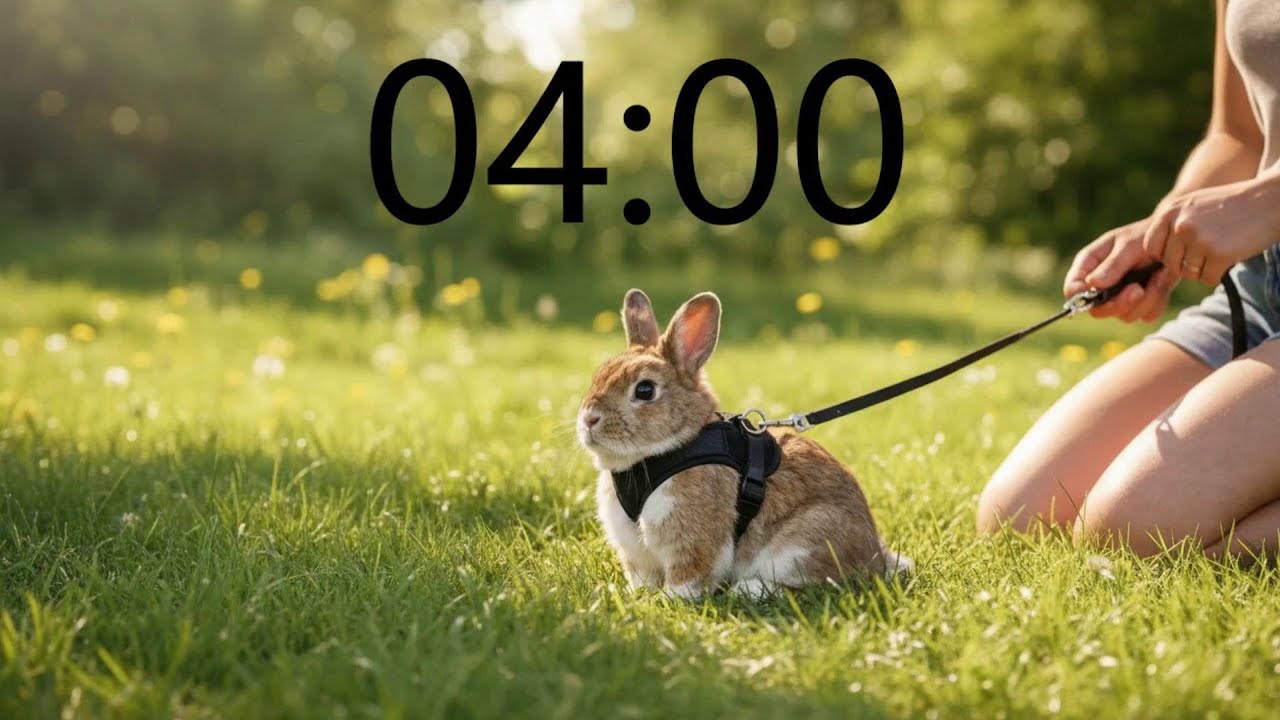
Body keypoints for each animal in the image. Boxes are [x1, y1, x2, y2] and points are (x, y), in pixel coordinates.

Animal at [577, 288, 912, 599]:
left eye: (645, 390)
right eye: (597, 376)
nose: (589, 419)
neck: (667, 451)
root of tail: (875, 558)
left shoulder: (694, 540)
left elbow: (689, 577)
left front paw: (669, 600)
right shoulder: (637, 555)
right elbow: (643, 577)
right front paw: (639, 596)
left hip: (801, 544)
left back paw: (747, 590)